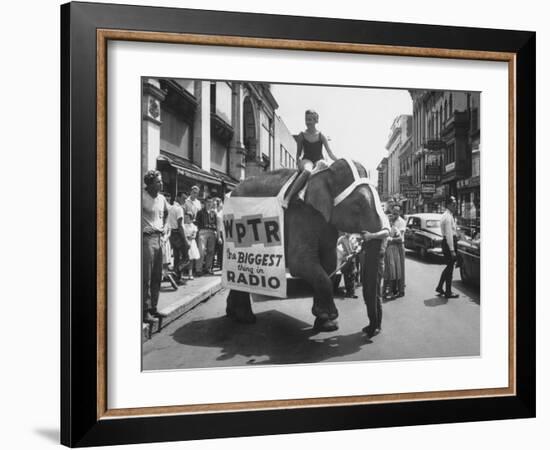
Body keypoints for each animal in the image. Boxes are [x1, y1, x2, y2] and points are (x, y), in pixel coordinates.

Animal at [224, 159, 388, 334]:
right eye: (357, 206)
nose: (368, 330)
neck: (325, 173)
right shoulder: (300, 216)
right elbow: (300, 263)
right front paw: (328, 316)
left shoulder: (327, 223)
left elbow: (329, 263)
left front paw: (327, 325)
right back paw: (246, 319)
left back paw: (232, 314)